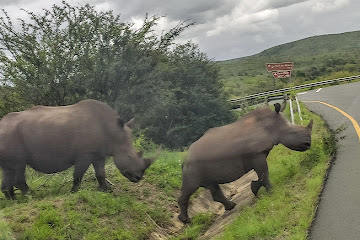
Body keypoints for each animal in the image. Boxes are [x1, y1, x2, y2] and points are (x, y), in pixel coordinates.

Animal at [177, 103, 312, 223]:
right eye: (293, 133)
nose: (308, 144)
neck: (271, 126)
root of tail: (184, 159)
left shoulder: (259, 154)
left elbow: (262, 175)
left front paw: (255, 188)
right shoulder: (257, 154)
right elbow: (264, 174)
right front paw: (271, 191)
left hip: (200, 164)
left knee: (212, 184)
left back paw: (231, 206)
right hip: (193, 167)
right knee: (191, 188)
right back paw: (186, 221)